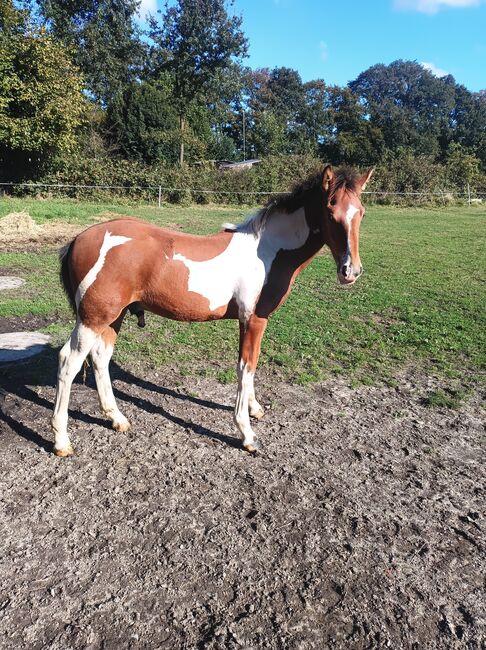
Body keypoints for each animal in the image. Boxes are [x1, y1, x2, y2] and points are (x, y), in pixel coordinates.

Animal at [52, 162, 372, 456]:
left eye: (362, 212)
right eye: (330, 211)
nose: (350, 271)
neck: (268, 251)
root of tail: (79, 239)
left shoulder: (251, 321)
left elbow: (250, 365)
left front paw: (255, 409)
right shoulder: (254, 319)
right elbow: (246, 367)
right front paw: (247, 434)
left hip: (112, 318)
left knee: (100, 359)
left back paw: (117, 419)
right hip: (93, 319)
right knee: (69, 361)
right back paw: (61, 441)